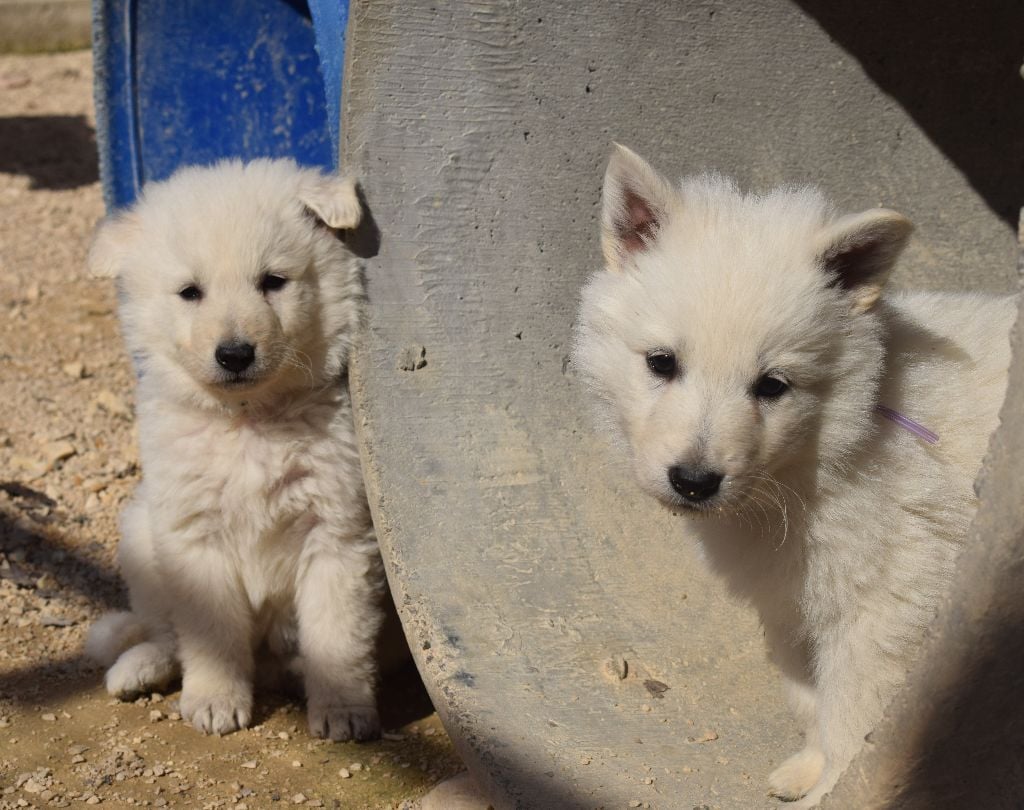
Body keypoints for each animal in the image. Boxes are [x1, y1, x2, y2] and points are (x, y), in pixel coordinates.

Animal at [83, 158, 385, 741]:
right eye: (190, 292)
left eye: (273, 282)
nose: (235, 354)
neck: (249, 420)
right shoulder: (194, 535)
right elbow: (211, 632)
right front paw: (215, 700)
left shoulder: (336, 532)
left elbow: (336, 633)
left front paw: (342, 708)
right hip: (141, 531)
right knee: (164, 631)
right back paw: (139, 666)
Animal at [577, 148, 1015, 806]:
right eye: (661, 363)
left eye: (772, 385)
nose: (694, 482)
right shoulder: (788, 603)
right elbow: (809, 702)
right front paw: (805, 769)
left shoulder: (883, 614)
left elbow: (852, 719)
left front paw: (831, 792)